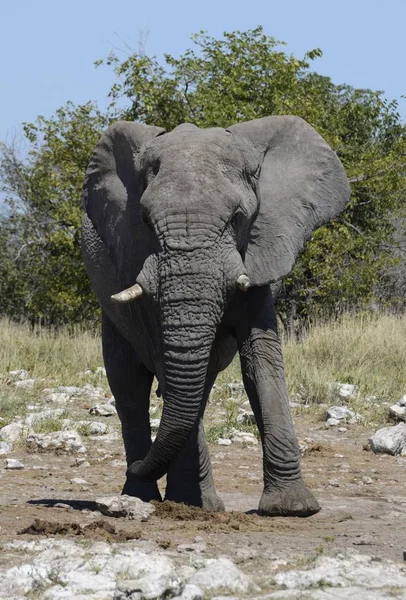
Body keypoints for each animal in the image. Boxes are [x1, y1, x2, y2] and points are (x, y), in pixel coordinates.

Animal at [81, 116, 350, 516]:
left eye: (237, 218)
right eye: (143, 219)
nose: (138, 465)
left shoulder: (259, 250)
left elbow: (261, 362)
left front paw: (292, 508)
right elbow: (166, 362)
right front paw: (190, 502)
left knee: (199, 384)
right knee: (129, 382)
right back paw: (148, 496)